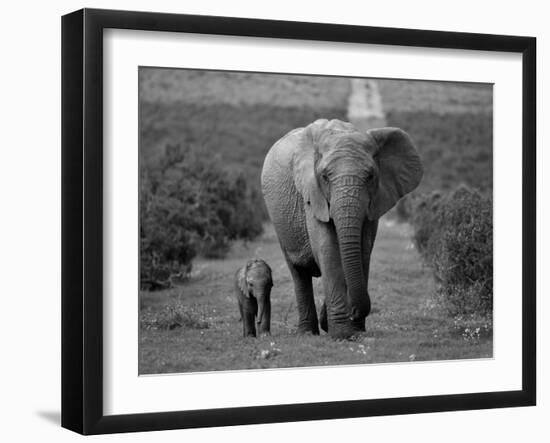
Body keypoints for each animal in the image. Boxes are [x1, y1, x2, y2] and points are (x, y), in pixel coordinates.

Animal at [260, 118, 424, 340]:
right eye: (325, 177)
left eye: (371, 176)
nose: (354, 311)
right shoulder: (312, 196)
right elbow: (328, 249)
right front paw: (342, 334)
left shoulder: (374, 202)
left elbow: (363, 250)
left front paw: (354, 330)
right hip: (279, 221)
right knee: (298, 272)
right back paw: (307, 332)